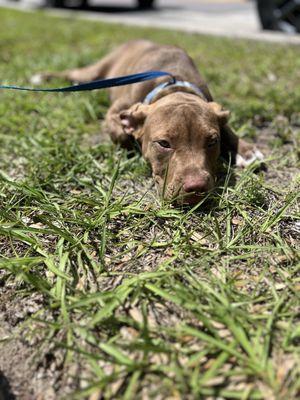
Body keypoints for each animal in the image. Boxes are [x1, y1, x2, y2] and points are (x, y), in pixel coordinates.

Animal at [31, 40, 264, 205]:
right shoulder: (118, 111)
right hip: (94, 71)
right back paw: (41, 77)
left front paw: (246, 151)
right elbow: (120, 132)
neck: (173, 86)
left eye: (212, 142)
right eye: (163, 144)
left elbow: (228, 128)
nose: (196, 187)